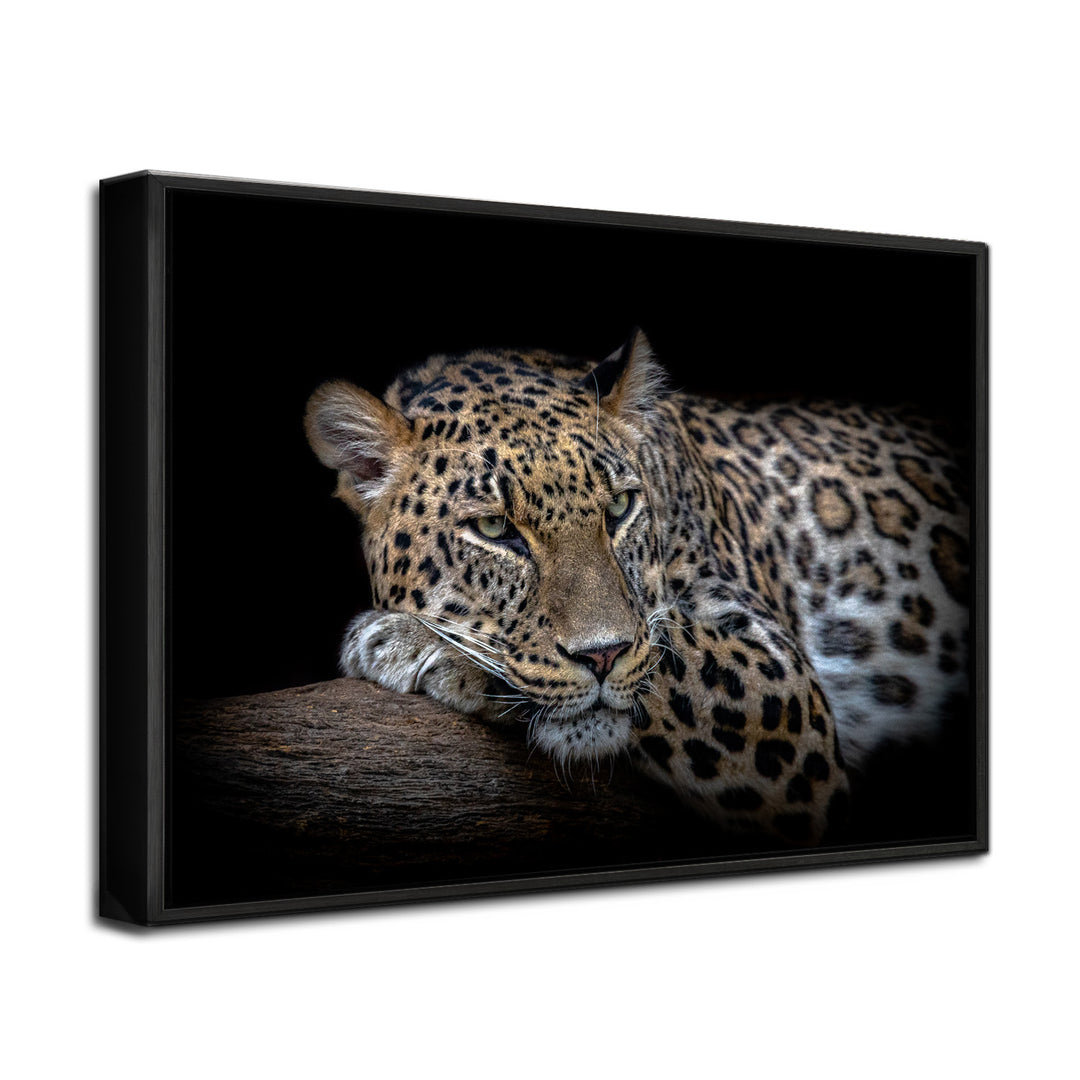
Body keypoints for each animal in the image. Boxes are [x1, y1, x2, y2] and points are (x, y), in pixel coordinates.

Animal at [304, 329, 970, 845]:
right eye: (494, 528)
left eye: (620, 506)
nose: (603, 656)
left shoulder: (780, 686)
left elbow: (668, 652)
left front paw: (414, 643)